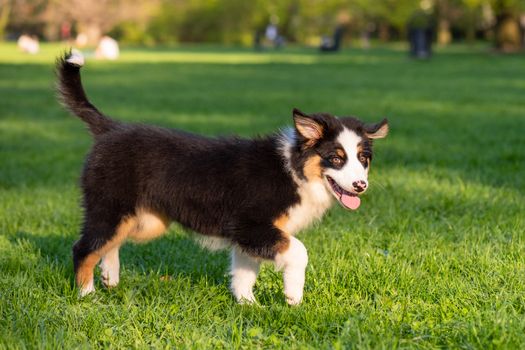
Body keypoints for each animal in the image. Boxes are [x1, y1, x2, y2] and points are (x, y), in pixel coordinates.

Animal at [55, 51, 386, 304]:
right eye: (336, 158)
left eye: (363, 159)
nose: (361, 186)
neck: (293, 169)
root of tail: (110, 128)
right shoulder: (251, 225)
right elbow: (299, 251)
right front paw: (293, 297)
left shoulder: (247, 236)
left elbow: (244, 272)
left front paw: (248, 305)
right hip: (110, 205)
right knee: (84, 248)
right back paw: (86, 294)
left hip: (145, 221)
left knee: (109, 243)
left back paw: (110, 276)